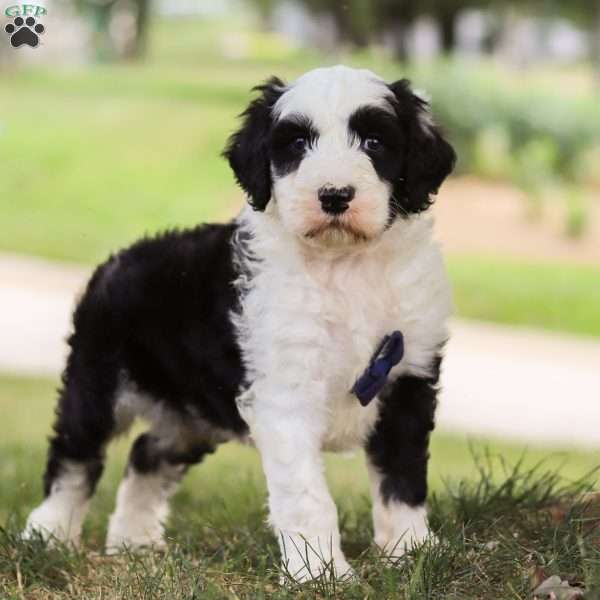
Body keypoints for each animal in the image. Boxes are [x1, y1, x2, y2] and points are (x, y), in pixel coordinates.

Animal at [23, 64, 454, 580]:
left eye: (374, 142)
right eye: (296, 143)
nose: (334, 196)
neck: (345, 267)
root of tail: (118, 259)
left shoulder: (407, 379)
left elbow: (402, 478)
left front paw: (411, 552)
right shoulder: (286, 395)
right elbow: (308, 498)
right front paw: (321, 573)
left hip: (190, 412)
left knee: (147, 454)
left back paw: (134, 542)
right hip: (97, 385)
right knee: (74, 458)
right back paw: (48, 535)